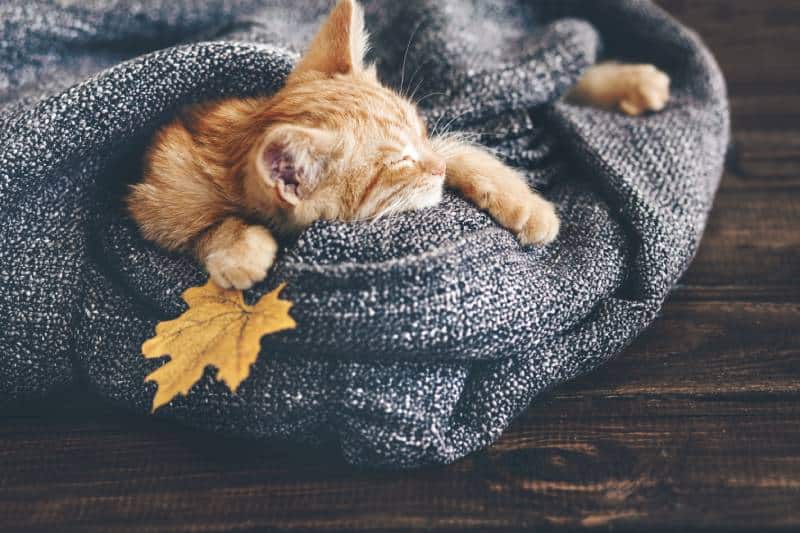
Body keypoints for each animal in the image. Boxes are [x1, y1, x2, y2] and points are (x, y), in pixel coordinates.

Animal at [128, 0, 668, 288]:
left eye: (419, 131)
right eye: (401, 163)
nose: (434, 169)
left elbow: (466, 151)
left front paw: (528, 208)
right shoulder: (161, 203)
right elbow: (208, 229)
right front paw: (241, 251)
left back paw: (637, 82)